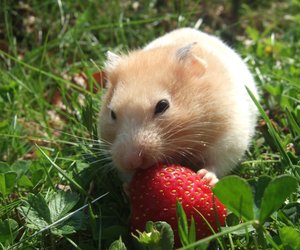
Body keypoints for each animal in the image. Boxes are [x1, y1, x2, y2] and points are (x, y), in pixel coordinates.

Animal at [98, 27, 258, 186]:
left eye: (162, 105)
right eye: (112, 113)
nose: (130, 161)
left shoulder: (230, 139)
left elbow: (217, 164)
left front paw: (204, 177)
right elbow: (127, 176)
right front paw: (129, 185)